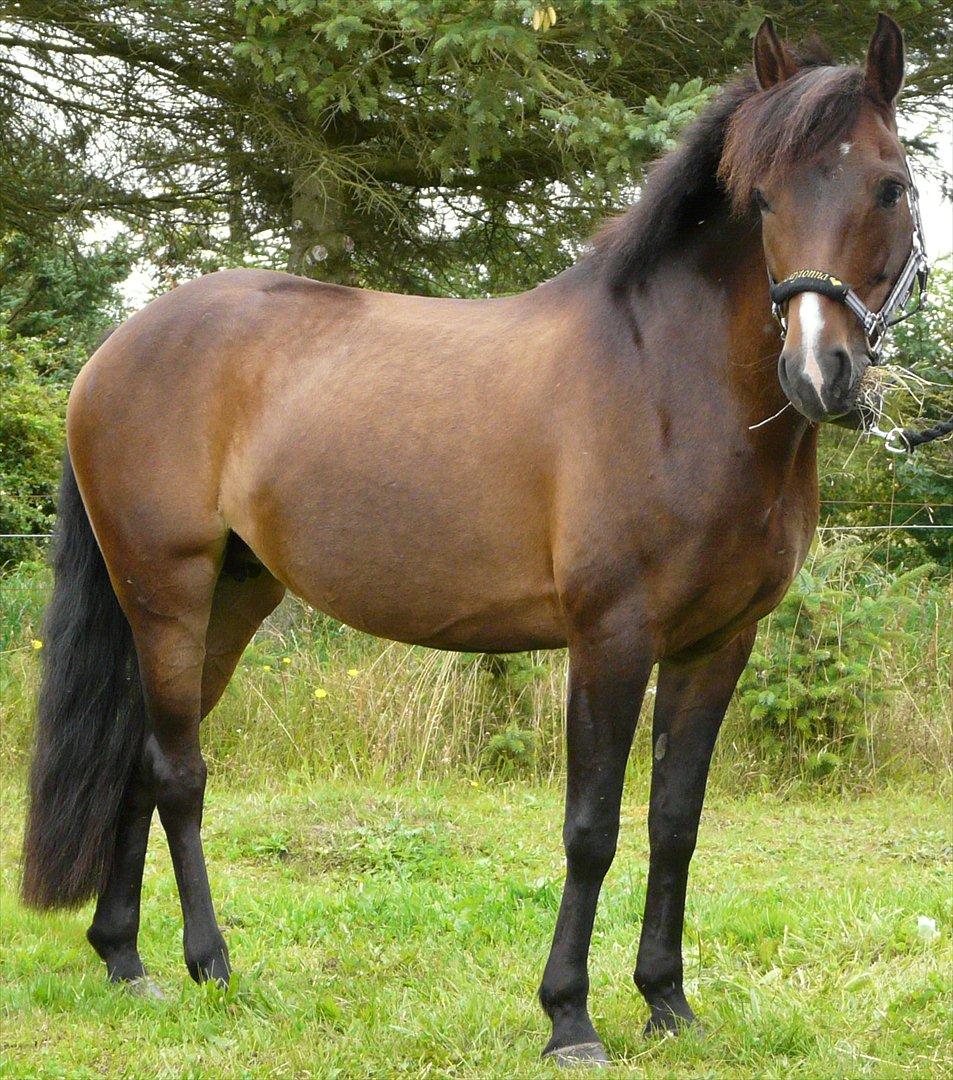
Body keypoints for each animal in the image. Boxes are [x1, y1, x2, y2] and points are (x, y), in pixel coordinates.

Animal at [21, 15, 920, 1065]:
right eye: (765, 196)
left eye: (889, 186)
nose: (819, 372)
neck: (668, 380)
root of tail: (114, 351)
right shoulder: (611, 637)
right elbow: (590, 828)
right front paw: (569, 1018)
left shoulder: (717, 643)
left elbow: (674, 821)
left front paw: (666, 1002)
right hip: (166, 588)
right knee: (178, 770)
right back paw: (209, 963)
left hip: (232, 596)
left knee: (142, 755)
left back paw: (126, 961)